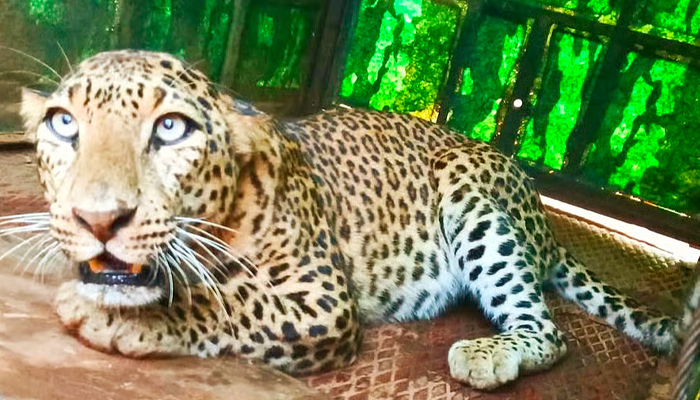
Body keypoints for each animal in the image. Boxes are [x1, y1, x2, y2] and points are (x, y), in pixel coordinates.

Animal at [9, 49, 696, 390]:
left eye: (170, 129)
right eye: (64, 125)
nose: (98, 219)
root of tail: (545, 223)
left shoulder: (323, 299)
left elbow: (234, 300)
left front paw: (116, 314)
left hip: (472, 195)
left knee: (549, 331)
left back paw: (487, 355)